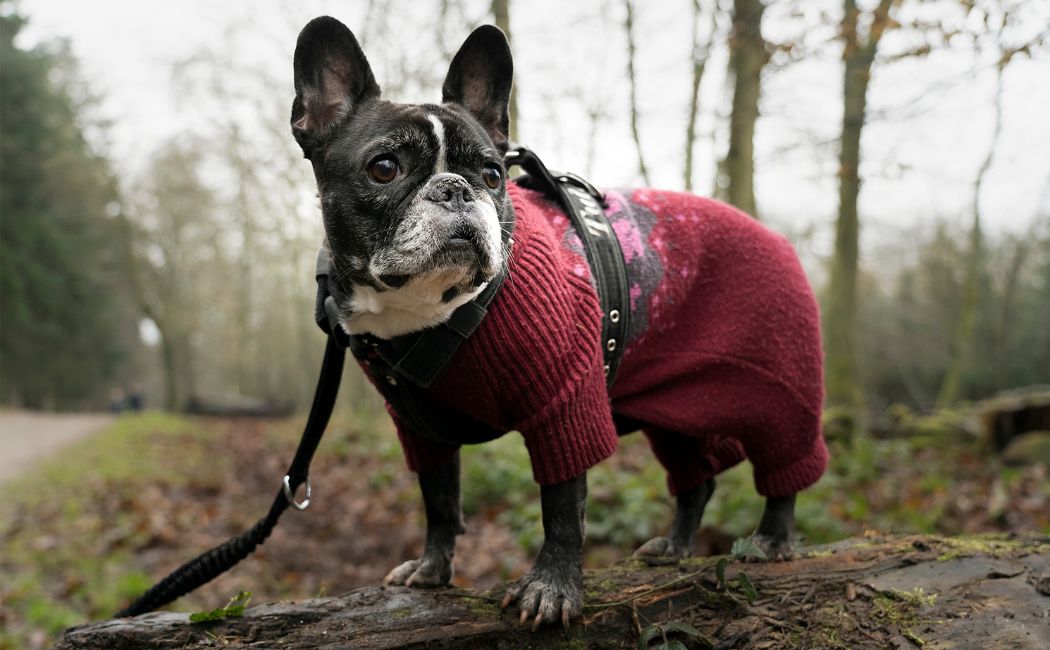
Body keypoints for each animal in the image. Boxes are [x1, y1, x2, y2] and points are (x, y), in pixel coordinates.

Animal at [289, 16, 827, 630]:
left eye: (492, 174)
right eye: (383, 169)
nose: (457, 189)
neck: (433, 312)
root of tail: (775, 236)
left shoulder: (563, 403)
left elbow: (563, 505)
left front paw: (551, 588)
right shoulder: (420, 429)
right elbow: (440, 498)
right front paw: (432, 568)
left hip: (781, 387)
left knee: (784, 460)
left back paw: (773, 538)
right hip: (674, 416)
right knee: (698, 477)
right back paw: (674, 547)